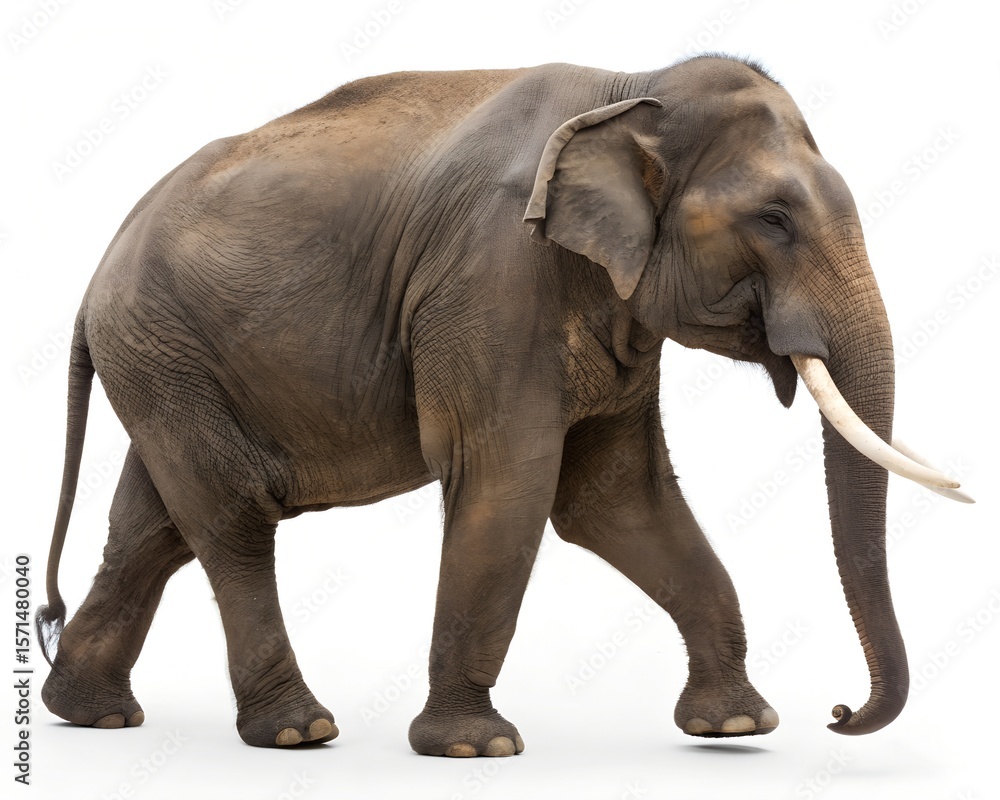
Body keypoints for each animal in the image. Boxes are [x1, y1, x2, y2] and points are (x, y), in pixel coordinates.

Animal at [36, 54, 970, 755]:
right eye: (774, 219)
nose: (839, 713)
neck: (632, 87)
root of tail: (92, 279)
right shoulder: (492, 276)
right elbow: (510, 482)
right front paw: (473, 746)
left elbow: (614, 498)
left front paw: (736, 725)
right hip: (164, 349)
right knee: (231, 517)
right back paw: (298, 731)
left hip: (169, 364)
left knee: (155, 526)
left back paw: (90, 713)